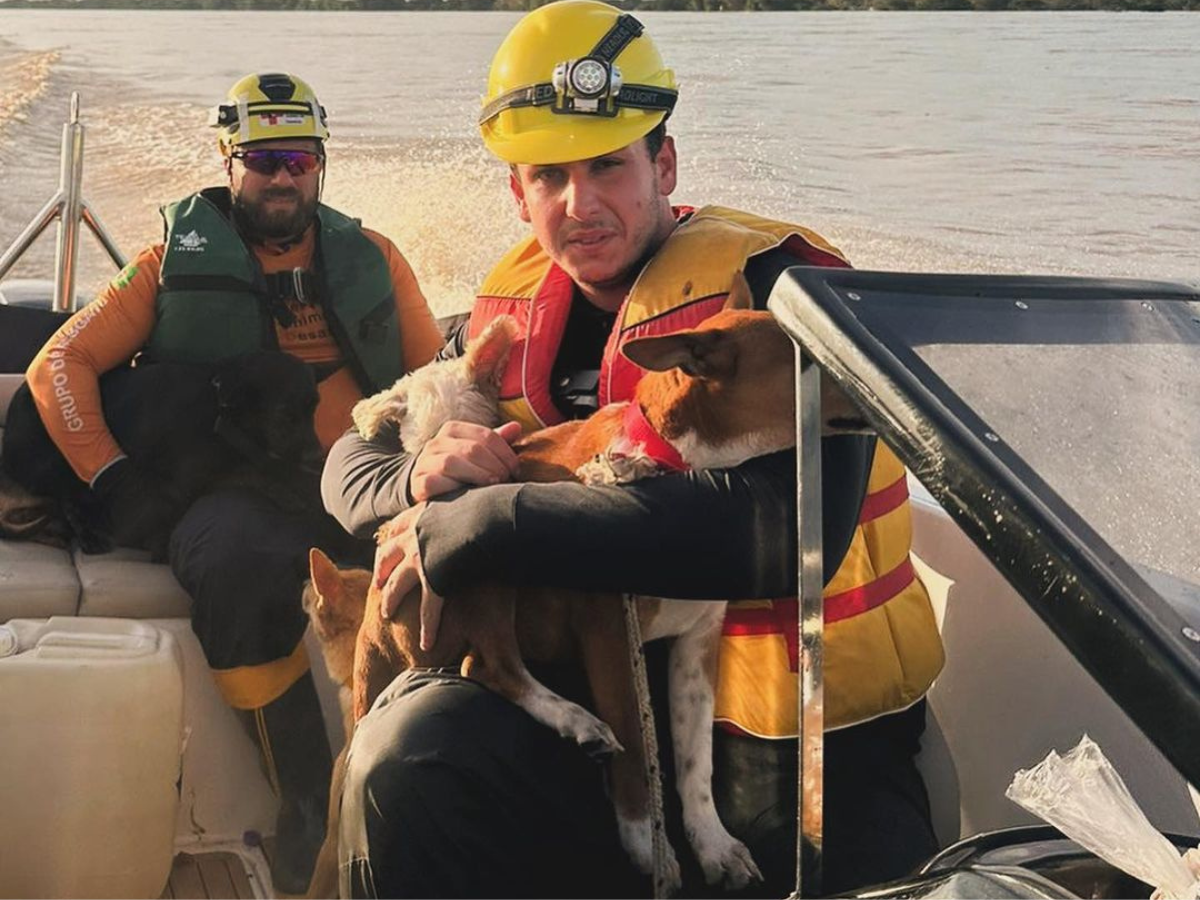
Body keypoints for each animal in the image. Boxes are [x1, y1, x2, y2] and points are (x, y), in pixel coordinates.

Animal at [1, 350, 324, 556]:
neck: (217, 406)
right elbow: (246, 472)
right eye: (284, 415)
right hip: (60, 458)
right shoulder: (185, 481)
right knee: (65, 499)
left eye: (314, 410)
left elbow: (248, 470)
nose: (319, 459)